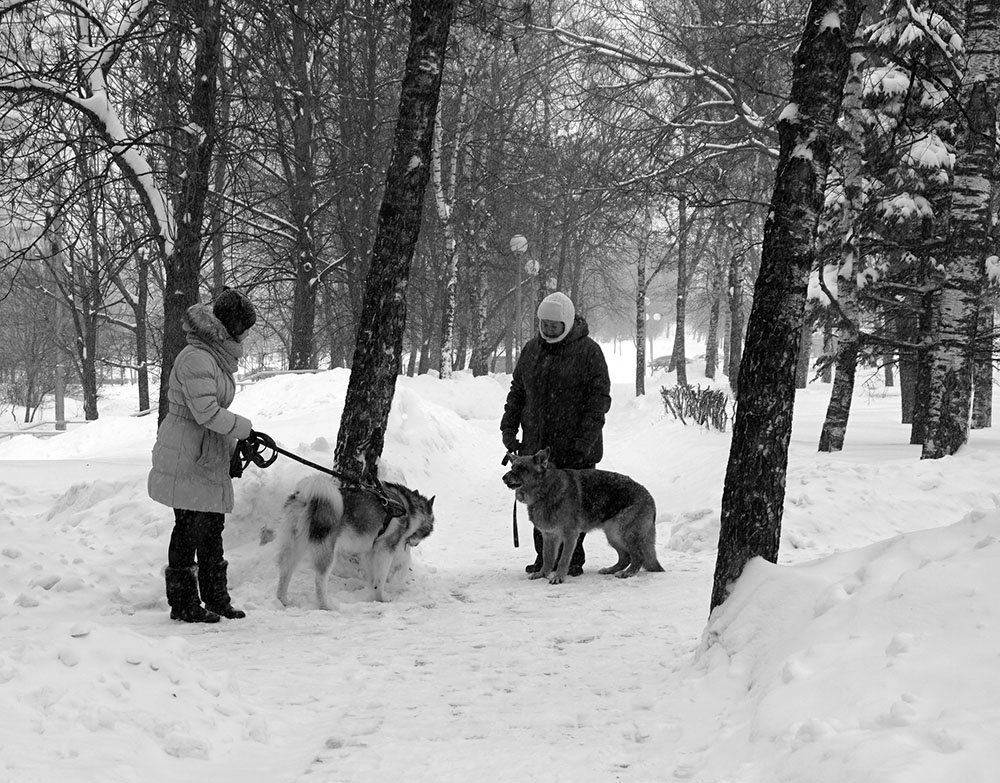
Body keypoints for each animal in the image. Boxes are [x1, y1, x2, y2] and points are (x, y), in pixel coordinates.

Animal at [274, 474, 434, 608]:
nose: (415, 543)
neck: (407, 507)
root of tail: (307, 498)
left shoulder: (369, 551)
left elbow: (373, 578)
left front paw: (372, 594)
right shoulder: (386, 549)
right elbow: (382, 577)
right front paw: (382, 598)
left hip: (294, 547)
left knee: (285, 572)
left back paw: (283, 600)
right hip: (326, 553)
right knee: (319, 581)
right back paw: (327, 605)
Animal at [500, 450, 664, 584]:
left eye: (522, 469)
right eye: (512, 467)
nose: (503, 478)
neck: (545, 490)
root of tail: (649, 496)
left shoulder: (570, 536)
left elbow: (563, 559)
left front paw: (558, 577)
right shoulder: (549, 535)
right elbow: (547, 558)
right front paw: (542, 574)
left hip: (623, 533)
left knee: (638, 557)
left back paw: (627, 573)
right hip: (613, 535)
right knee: (625, 556)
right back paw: (611, 569)